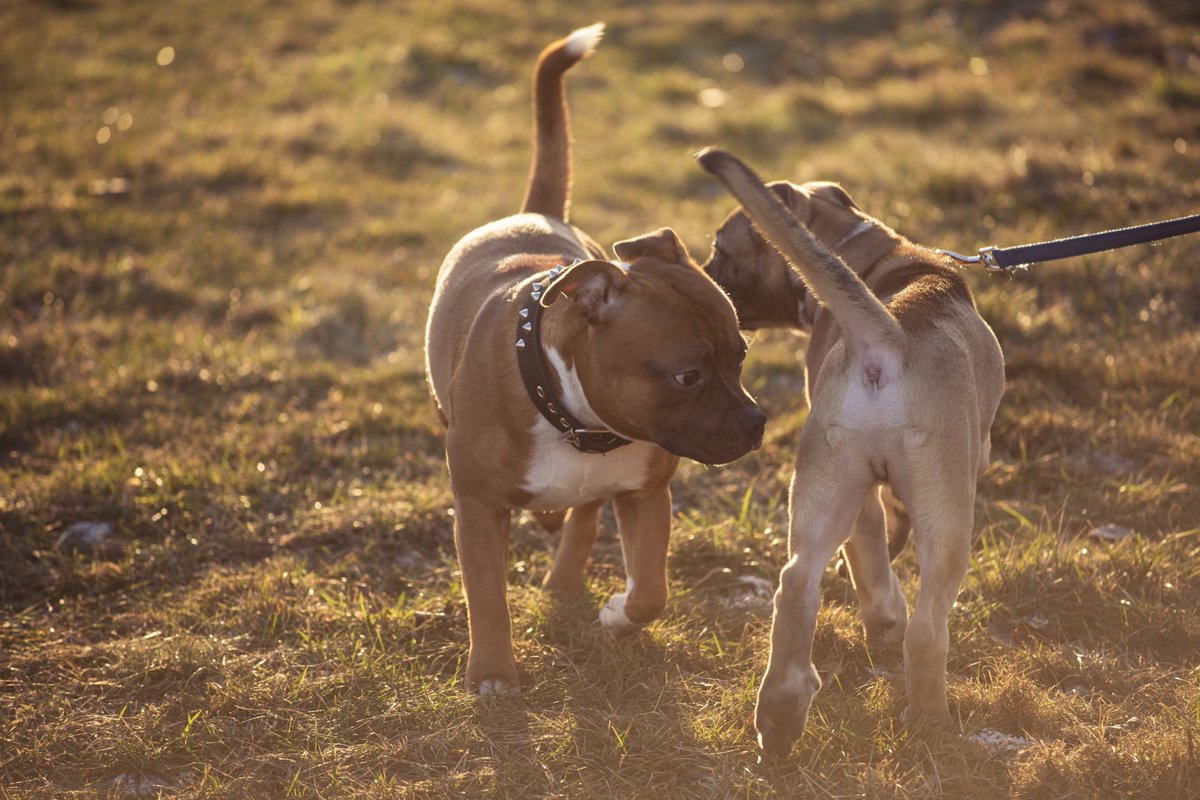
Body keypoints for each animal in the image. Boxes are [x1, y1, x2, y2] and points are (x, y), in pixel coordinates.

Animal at [424, 21, 758, 690]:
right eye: (688, 375)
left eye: (741, 357)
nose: (757, 423)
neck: (573, 418)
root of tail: (537, 210)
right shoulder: (476, 507)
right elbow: (487, 595)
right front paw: (493, 671)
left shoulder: (646, 494)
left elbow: (651, 588)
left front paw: (618, 615)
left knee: (580, 516)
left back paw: (564, 573)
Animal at [700, 148, 1008, 758]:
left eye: (722, 251)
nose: (704, 282)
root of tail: (887, 338)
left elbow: (873, 549)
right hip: (947, 513)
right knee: (926, 626)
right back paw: (929, 721)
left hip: (827, 479)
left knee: (797, 582)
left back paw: (780, 716)